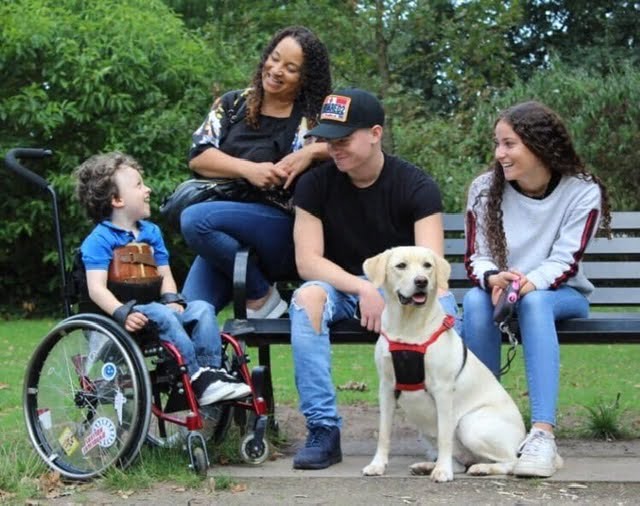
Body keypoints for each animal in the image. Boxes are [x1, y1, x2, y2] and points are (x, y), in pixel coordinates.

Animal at [362, 245, 528, 482]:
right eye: (401, 265)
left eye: (427, 265)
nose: (421, 281)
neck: (408, 326)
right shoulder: (386, 388)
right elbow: (384, 433)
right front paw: (377, 465)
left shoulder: (442, 390)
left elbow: (444, 436)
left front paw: (442, 471)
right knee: (461, 462)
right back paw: (427, 466)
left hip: (470, 424)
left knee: (511, 462)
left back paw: (481, 468)